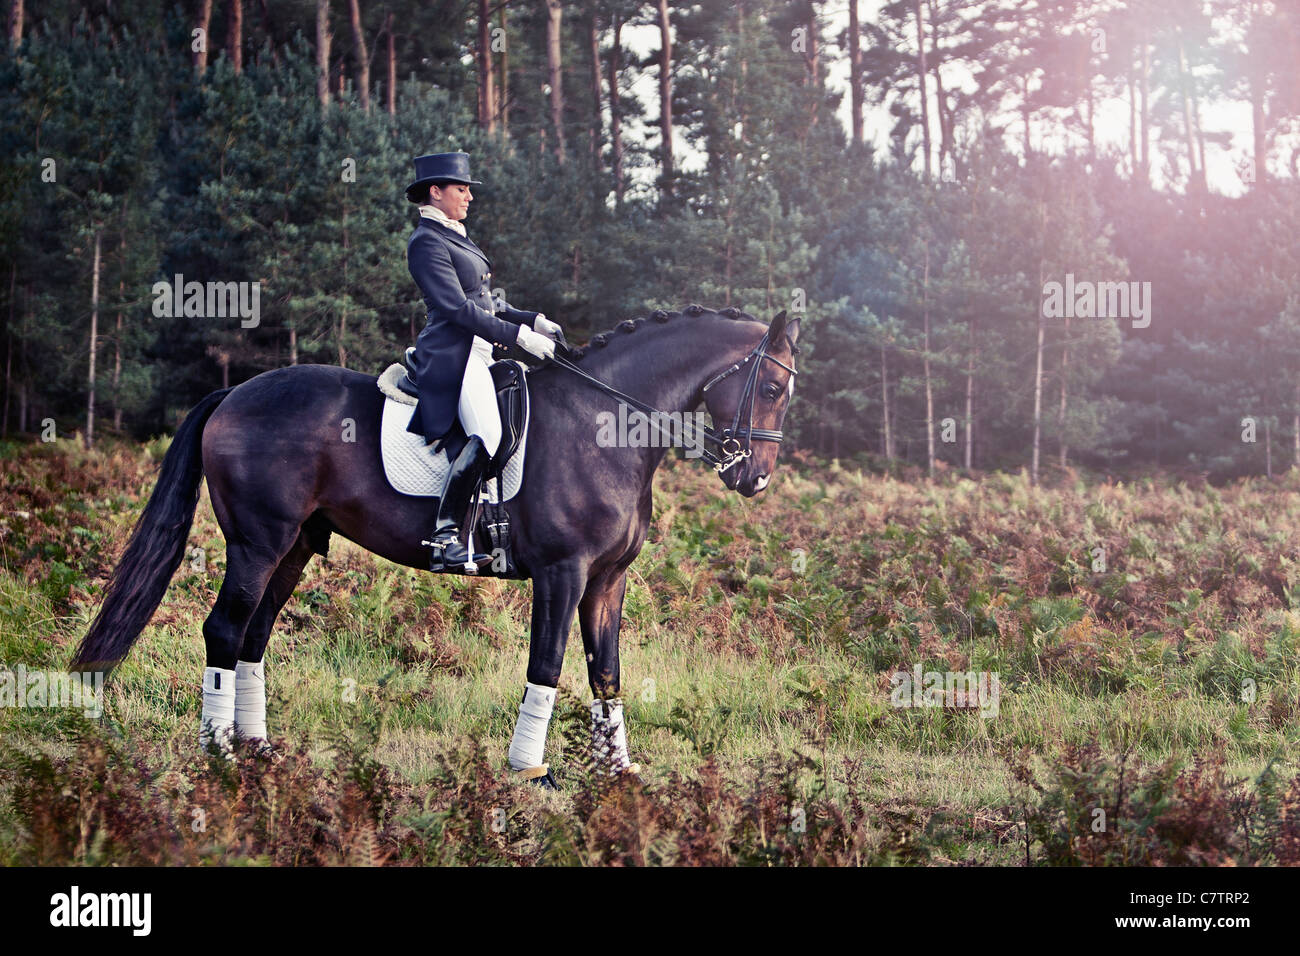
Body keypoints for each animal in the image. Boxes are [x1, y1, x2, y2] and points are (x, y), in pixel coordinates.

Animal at [71, 305, 800, 785]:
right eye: (770, 386)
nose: (755, 478)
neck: (601, 426)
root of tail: (231, 395)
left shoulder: (606, 581)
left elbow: (607, 675)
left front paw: (617, 772)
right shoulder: (561, 575)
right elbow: (547, 666)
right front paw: (528, 771)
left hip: (294, 549)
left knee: (253, 634)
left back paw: (258, 751)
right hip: (257, 542)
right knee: (224, 630)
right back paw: (220, 756)